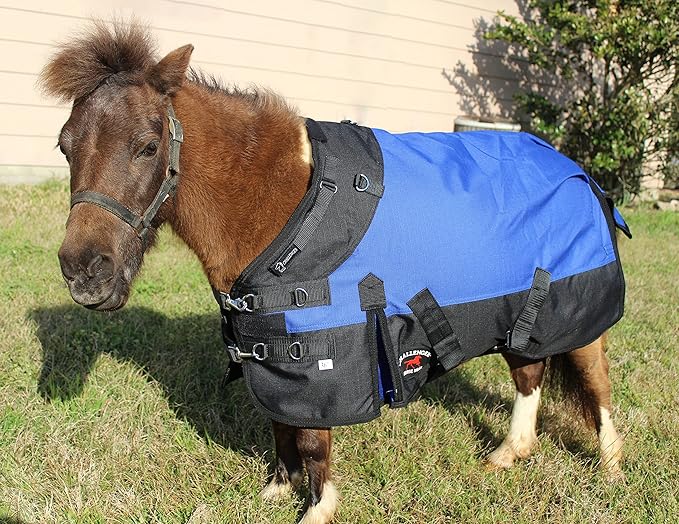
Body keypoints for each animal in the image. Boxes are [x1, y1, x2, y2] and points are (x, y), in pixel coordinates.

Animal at [40, 22, 625, 524]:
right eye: (64, 145)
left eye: (146, 145)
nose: (84, 271)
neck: (275, 197)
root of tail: (577, 171)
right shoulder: (267, 346)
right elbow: (281, 423)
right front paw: (278, 488)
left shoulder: (320, 353)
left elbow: (311, 437)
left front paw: (318, 506)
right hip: (521, 313)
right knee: (529, 373)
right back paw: (509, 453)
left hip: (575, 308)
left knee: (594, 379)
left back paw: (611, 464)